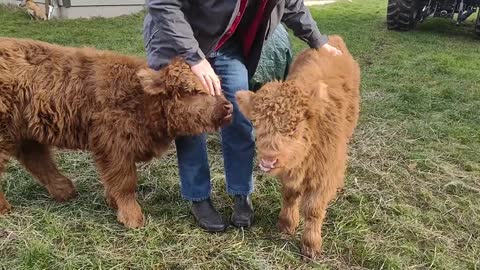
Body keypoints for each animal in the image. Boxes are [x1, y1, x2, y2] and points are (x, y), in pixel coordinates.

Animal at [0, 37, 233, 228]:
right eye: (191, 91)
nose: (228, 107)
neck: (140, 100)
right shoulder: (114, 146)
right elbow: (125, 182)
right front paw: (132, 218)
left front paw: (113, 203)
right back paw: (6, 208)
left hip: (25, 132)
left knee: (37, 160)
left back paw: (65, 191)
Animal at [236, 35, 360, 258]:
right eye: (256, 124)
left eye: (294, 129)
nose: (268, 160)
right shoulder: (289, 174)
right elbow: (290, 196)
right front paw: (286, 224)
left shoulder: (323, 174)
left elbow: (313, 210)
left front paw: (311, 245)